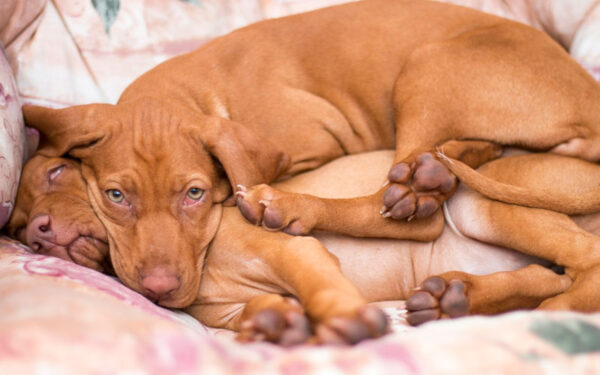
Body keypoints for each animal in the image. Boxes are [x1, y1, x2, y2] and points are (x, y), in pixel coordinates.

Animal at [5, 151, 572, 346]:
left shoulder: (296, 253)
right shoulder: (226, 312)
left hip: (483, 207)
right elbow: (258, 307)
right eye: (16, 224)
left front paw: (344, 320)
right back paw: (455, 297)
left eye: (58, 171)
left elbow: (318, 284)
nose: (40, 232)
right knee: (546, 277)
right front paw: (276, 322)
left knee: (576, 266)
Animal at [21, 0, 600, 320]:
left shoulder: (312, 146)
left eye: (195, 194)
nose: (38, 233)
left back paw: (297, 204)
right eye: (115, 196)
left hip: (427, 68)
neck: (199, 93)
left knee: (411, 214)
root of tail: (588, 100)